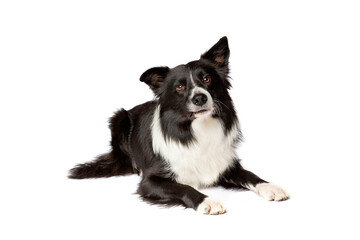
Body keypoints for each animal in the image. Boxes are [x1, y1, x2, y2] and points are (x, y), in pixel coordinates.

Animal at [69, 37, 290, 214]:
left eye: (207, 79)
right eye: (180, 87)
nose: (200, 98)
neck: (199, 128)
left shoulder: (226, 164)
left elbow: (250, 175)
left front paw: (271, 187)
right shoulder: (150, 182)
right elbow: (185, 187)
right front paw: (207, 201)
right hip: (119, 118)